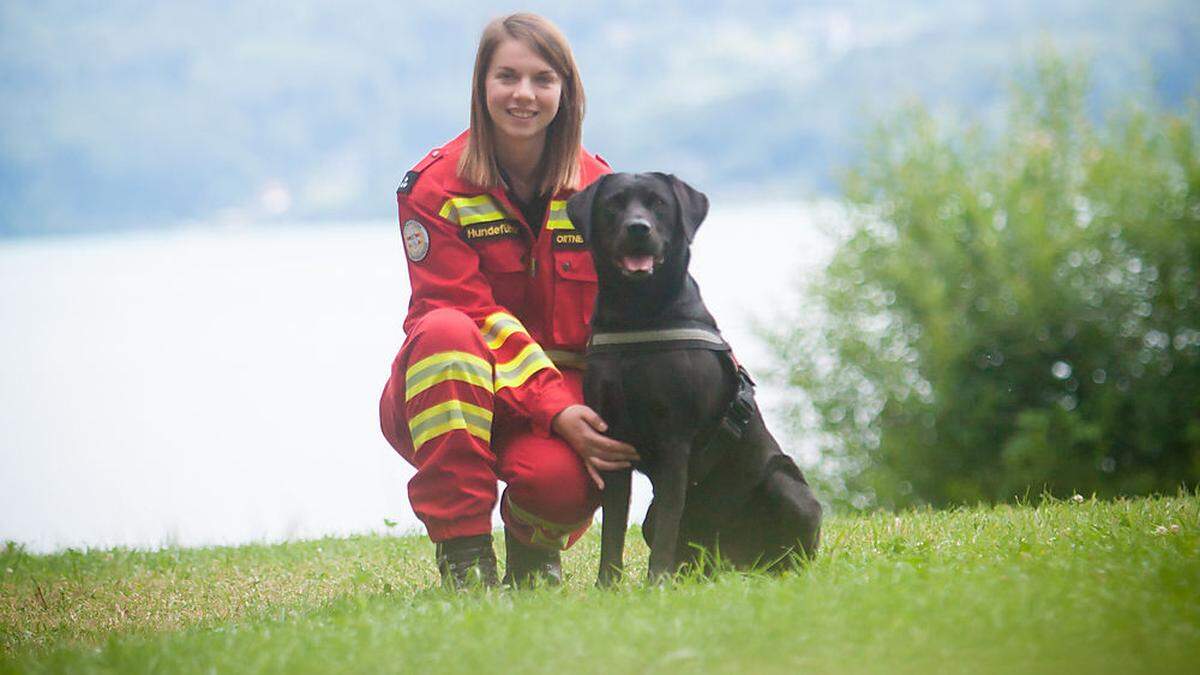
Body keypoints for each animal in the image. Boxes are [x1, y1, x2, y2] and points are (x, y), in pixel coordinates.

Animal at [566, 170, 820, 581]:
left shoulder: (675, 440)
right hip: (654, 521)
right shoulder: (611, 443)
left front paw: (655, 582)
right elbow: (613, 532)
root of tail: (733, 562)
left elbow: (669, 526)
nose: (638, 228)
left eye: (658, 203)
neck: (637, 315)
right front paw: (607, 585)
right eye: (613, 204)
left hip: (789, 487)